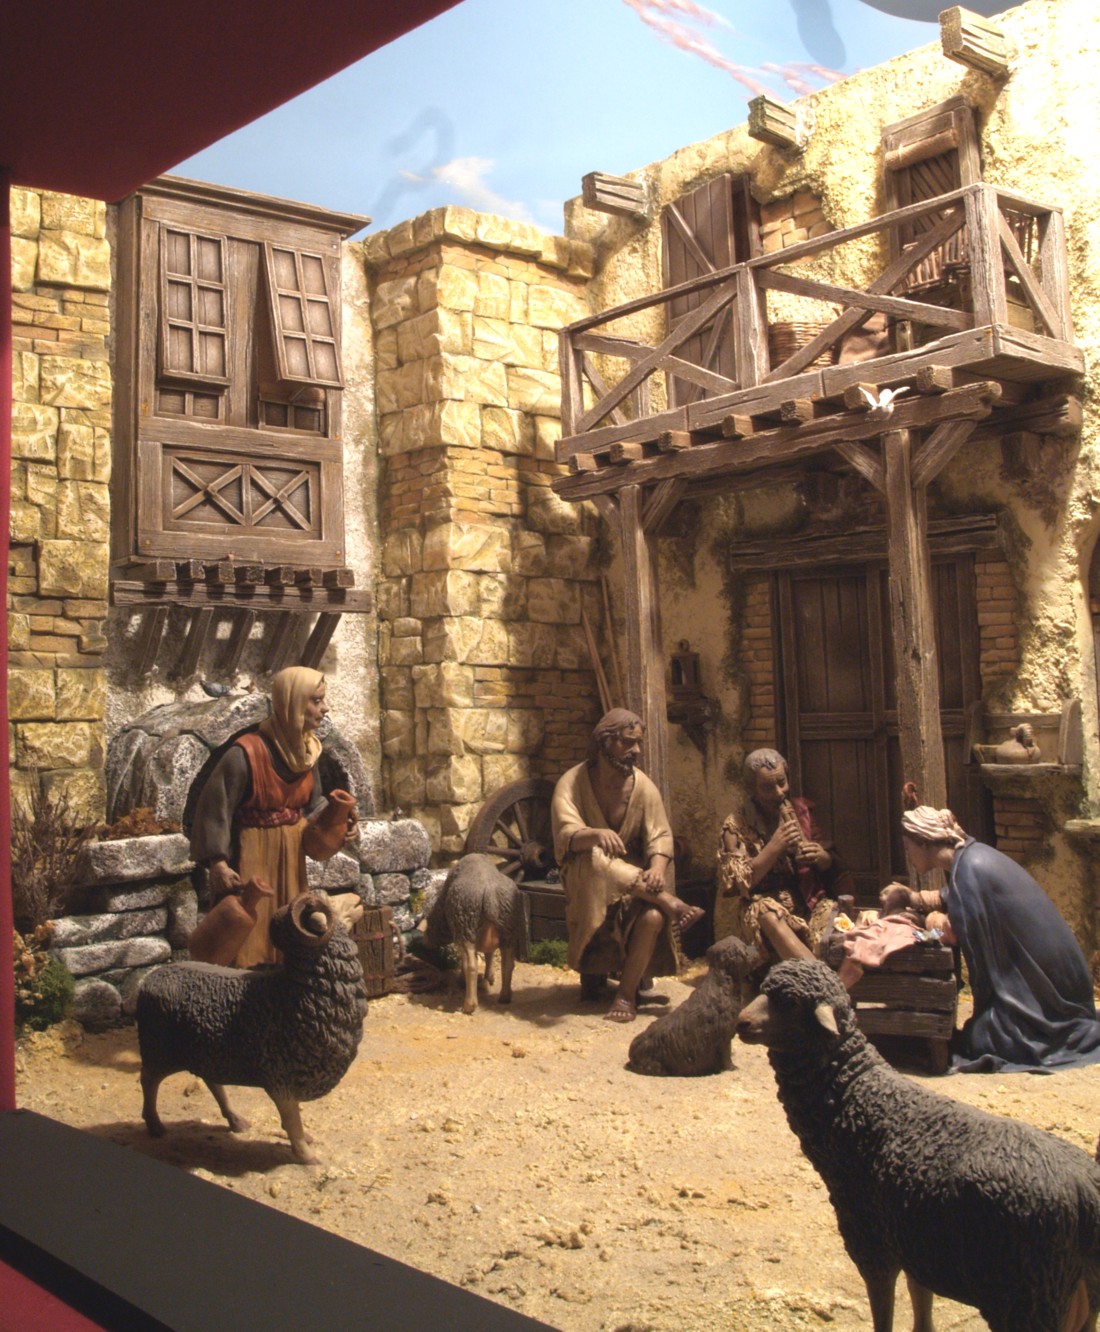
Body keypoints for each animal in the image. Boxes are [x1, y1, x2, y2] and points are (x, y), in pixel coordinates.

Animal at [137, 892, 368, 1164]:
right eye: (331, 901)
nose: (356, 897)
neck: (291, 992)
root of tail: (151, 977)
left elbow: (295, 1117)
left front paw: (305, 1141)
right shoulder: (280, 1078)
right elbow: (293, 1119)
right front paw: (307, 1155)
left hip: (208, 1051)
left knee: (212, 1082)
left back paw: (235, 1120)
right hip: (159, 1051)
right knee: (148, 1081)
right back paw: (154, 1125)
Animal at [423, 853, 527, 1015]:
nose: (425, 942)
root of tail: (490, 893)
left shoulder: (462, 934)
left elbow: (467, 961)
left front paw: (463, 979)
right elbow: (490, 954)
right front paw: (489, 977)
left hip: (466, 926)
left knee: (471, 965)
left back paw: (469, 1005)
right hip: (507, 931)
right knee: (508, 963)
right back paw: (505, 996)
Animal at [627, 936, 756, 1076]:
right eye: (744, 947)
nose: (756, 947)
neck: (722, 984)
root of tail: (632, 1052)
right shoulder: (724, 1035)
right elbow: (726, 1057)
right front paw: (732, 1068)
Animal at [736, 959, 1100, 1332]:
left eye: (790, 1003)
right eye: (763, 989)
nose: (741, 1022)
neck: (856, 1094)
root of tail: (1085, 1192)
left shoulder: (872, 1241)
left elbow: (883, 1309)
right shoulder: (917, 1242)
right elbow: (921, 1302)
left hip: (1030, 1297)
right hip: (1081, 1291)